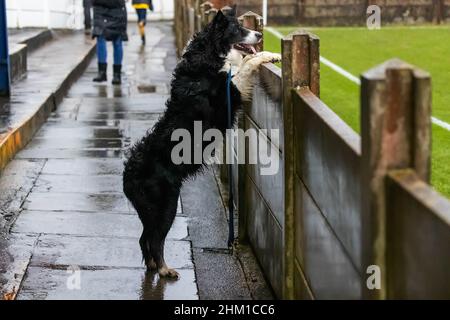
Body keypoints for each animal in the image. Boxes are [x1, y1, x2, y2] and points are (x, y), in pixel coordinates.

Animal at [123, 6, 282, 278]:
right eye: (237, 30)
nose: (260, 35)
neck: (210, 55)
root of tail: (128, 174)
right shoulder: (229, 92)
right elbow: (246, 65)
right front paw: (265, 56)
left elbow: (246, 62)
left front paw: (269, 54)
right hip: (166, 205)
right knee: (155, 239)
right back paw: (165, 270)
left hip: (149, 210)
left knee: (144, 238)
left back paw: (154, 266)